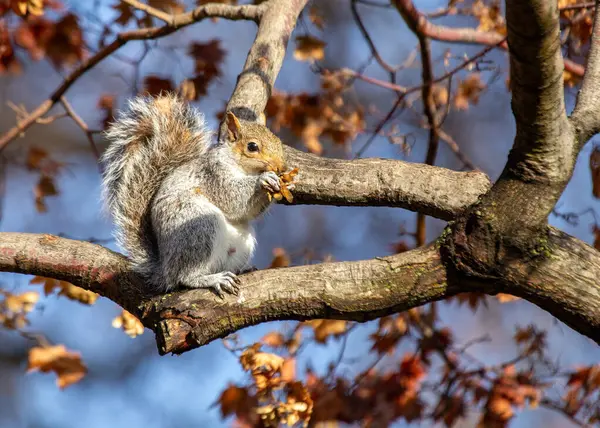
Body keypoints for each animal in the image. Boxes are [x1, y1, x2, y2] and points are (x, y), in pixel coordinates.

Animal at [101, 93, 292, 296]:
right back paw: (212, 279)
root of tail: (166, 270)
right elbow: (233, 198)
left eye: (278, 141)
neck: (241, 166)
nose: (281, 167)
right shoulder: (213, 174)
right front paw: (263, 180)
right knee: (185, 277)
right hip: (198, 227)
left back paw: (241, 269)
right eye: (252, 146)